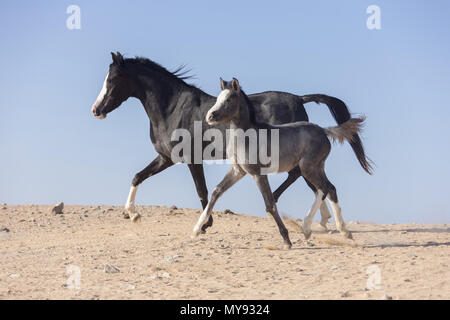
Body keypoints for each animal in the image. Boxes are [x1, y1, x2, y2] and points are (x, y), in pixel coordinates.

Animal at [91, 53, 372, 232]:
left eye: (112, 80)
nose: (96, 110)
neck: (172, 107)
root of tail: (299, 98)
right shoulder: (166, 158)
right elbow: (138, 176)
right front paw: (132, 214)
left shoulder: (191, 159)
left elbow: (203, 191)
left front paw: (205, 225)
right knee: (313, 184)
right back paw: (320, 221)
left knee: (304, 180)